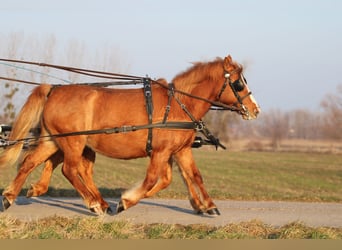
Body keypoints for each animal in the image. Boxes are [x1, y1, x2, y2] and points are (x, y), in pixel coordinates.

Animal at [0, 54, 260, 215]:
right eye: (238, 83)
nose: (255, 109)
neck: (178, 104)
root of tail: (54, 89)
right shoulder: (160, 152)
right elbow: (154, 179)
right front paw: (126, 201)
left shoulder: (181, 151)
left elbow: (193, 176)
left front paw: (208, 205)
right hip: (73, 142)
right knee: (70, 169)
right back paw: (95, 204)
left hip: (54, 140)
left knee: (30, 162)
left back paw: (10, 196)